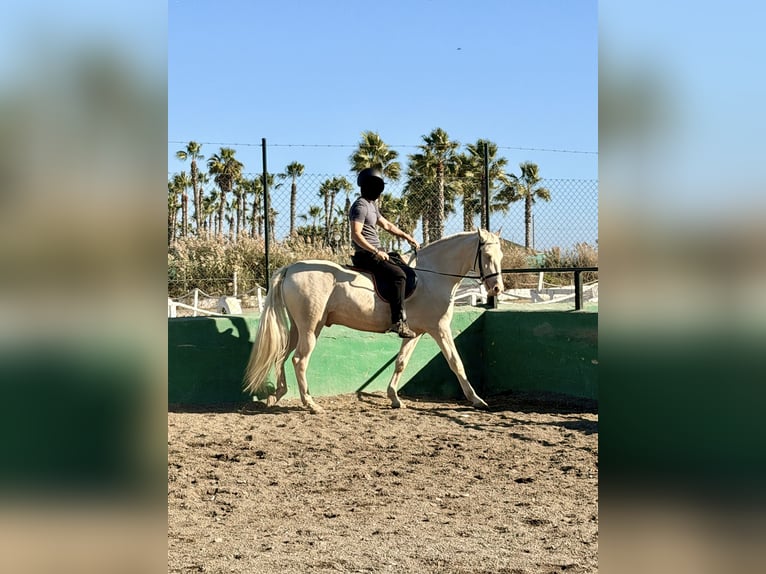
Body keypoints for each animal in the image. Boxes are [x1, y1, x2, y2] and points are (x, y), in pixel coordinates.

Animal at [243, 229, 504, 413]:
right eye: (487, 256)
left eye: (501, 256)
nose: (497, 289)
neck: (432, 276)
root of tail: (290, 268)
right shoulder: (439, 328)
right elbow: (456, 362)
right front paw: (477, 400)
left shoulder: (415, 332)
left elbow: (401, 363)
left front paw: (394, 398)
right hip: (310, 328)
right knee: (299, 360)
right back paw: (310, 404)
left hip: (299, 327)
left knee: (282, 355)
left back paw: (277, 394)